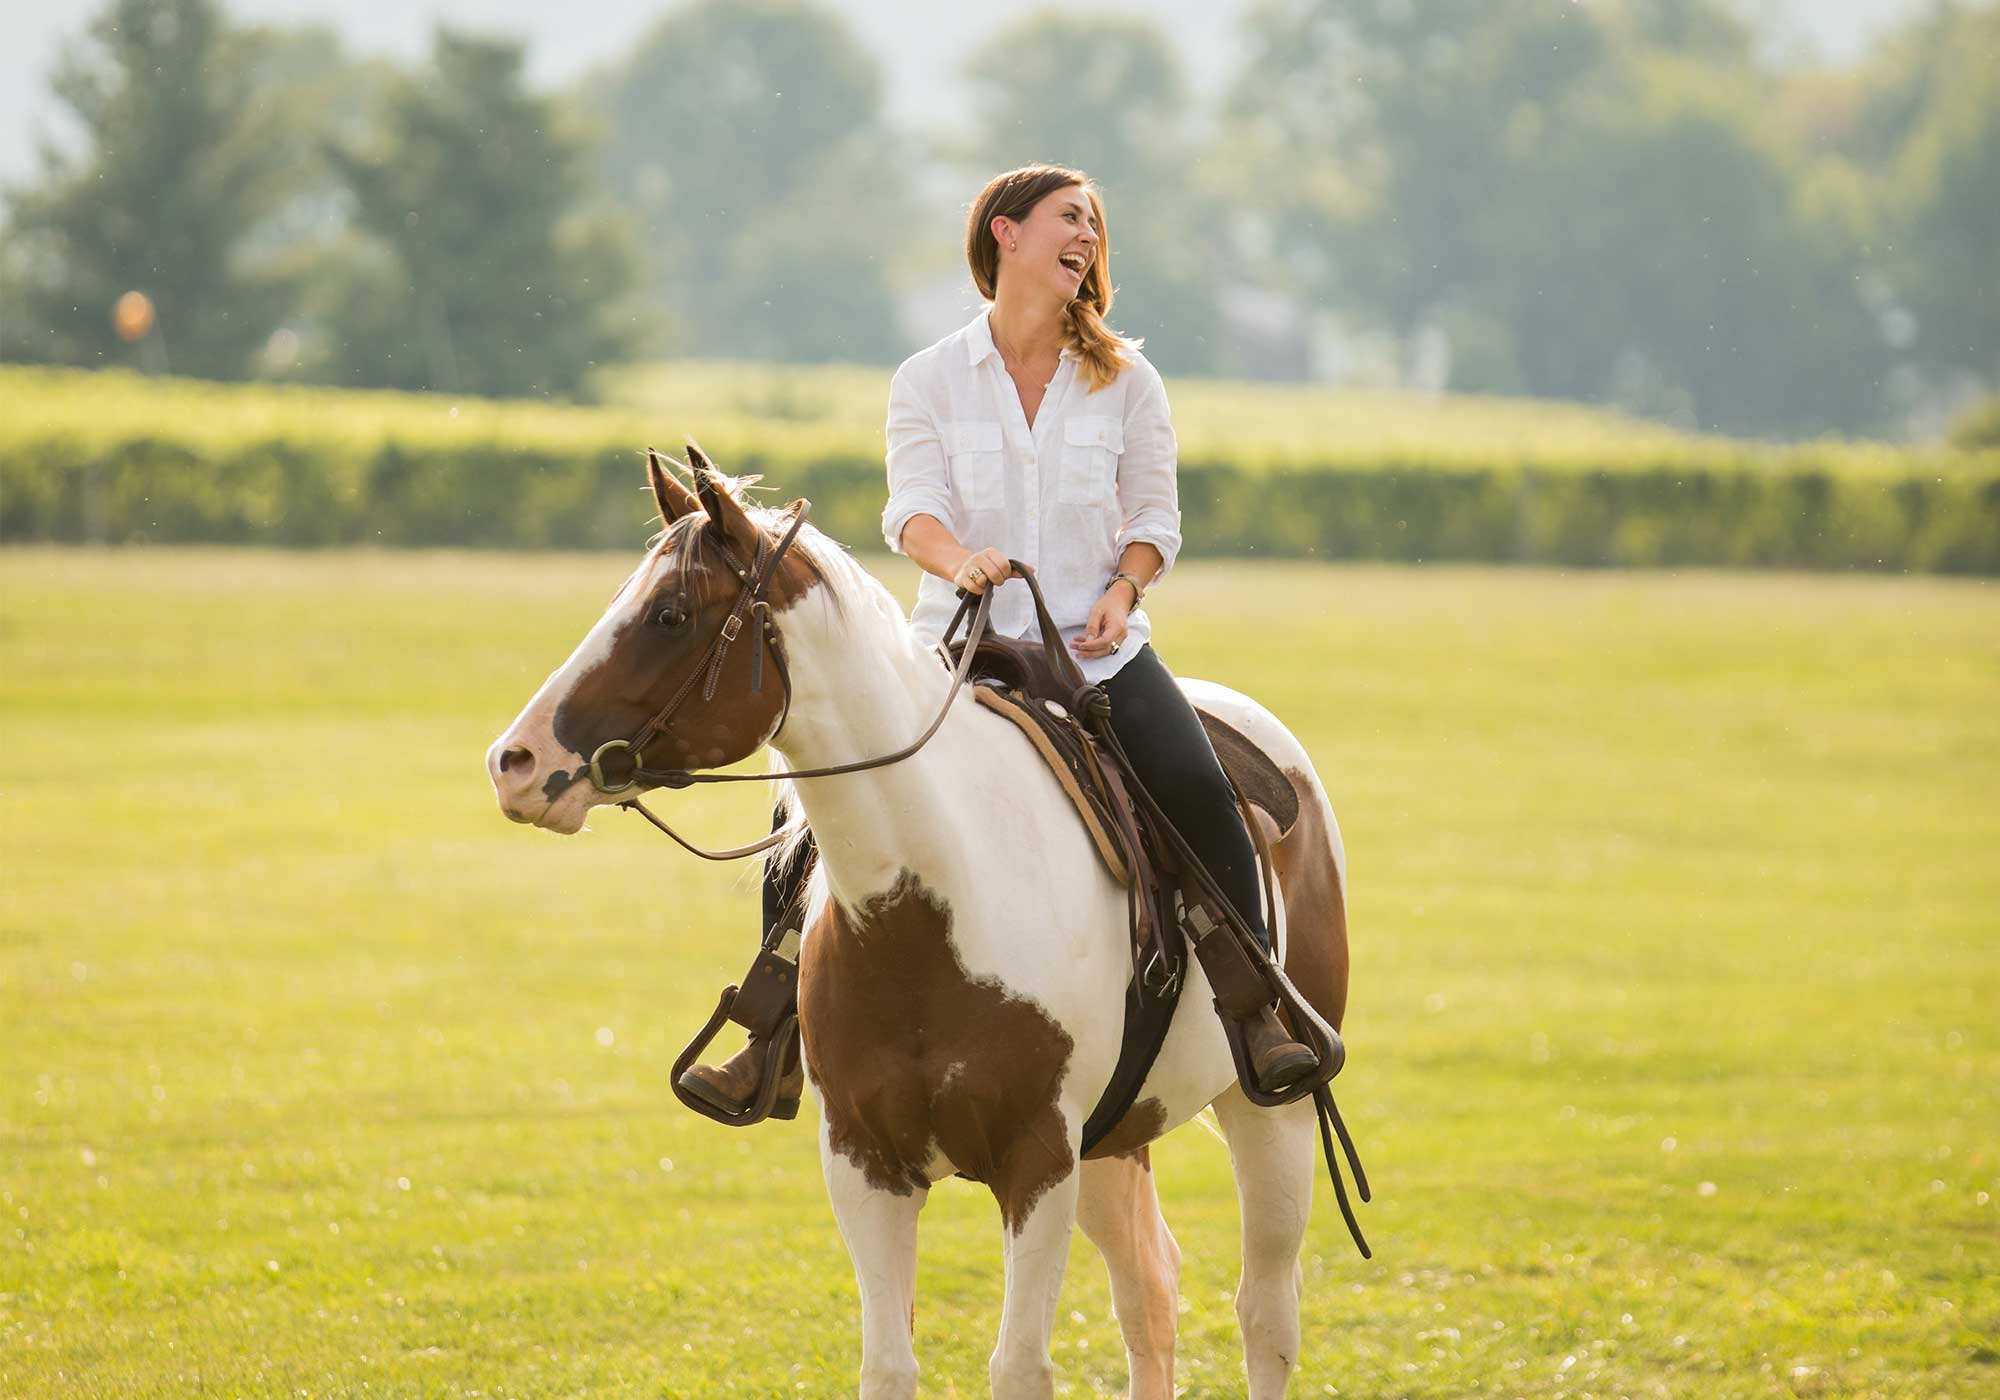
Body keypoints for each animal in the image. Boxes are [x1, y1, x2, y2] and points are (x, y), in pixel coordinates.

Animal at [485, 450, 1356, 1399]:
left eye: (671, 613)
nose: (515, 761)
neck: (934, 905)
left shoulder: (1038, 1159)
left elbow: (1019, 1367)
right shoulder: (867, 1165)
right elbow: (888, 1364)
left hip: (1268, 1116)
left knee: (1264, 1313)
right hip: (1116, 1140)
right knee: (1149, 1294)